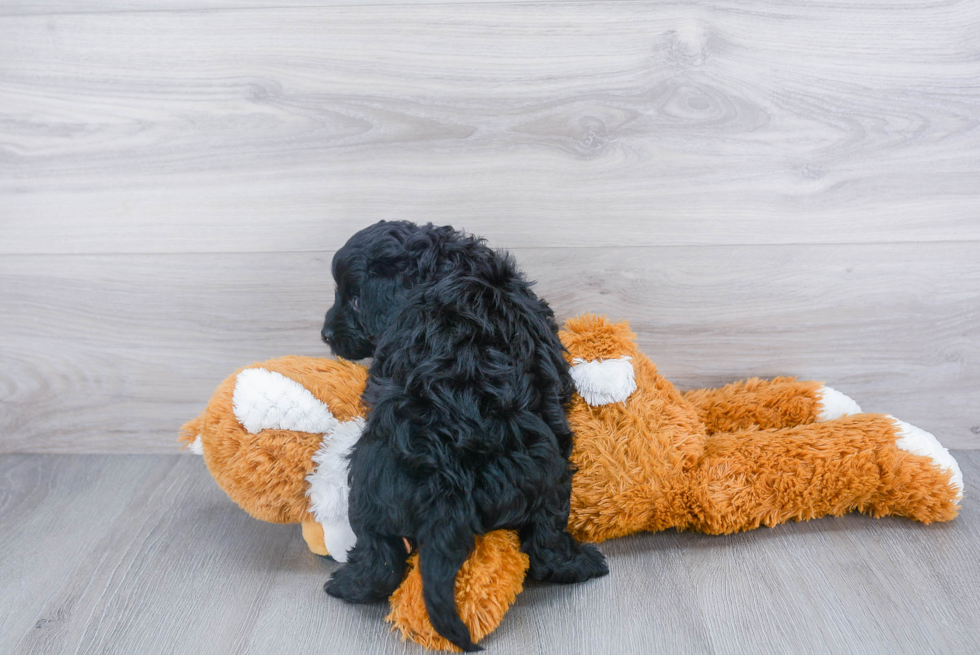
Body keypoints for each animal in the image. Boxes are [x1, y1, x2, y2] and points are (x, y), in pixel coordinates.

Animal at [322, 223, 608, 652]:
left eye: (355, 300)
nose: (325, 334)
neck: (445, 266)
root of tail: (447, 481)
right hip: (551, 474)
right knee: (546, 541)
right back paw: (580, 564)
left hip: (366, 481)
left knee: (380, 557)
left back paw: (347, 585)